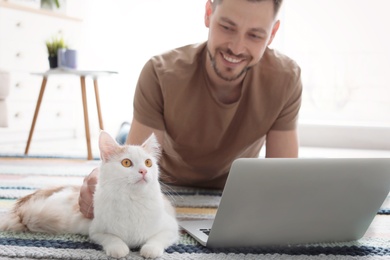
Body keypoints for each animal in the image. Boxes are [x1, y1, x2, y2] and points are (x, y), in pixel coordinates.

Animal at [0, 131, 180, 258]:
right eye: (126, 163)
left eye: (148, 163)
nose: (143, 171)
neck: (133, 200)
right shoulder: (96, 230)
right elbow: (112, 238)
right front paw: (119, 248)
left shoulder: (171, 227)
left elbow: (157, 239)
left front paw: (150, 249)